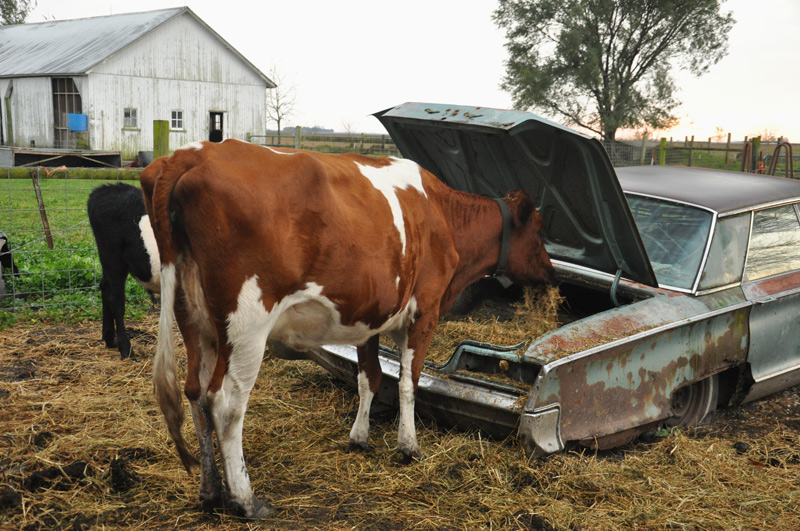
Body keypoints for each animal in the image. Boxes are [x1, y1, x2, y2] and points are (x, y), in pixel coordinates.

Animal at [140, 139, 555, 518]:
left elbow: (369, 376)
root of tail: (193, 152)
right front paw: (409, 446)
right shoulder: (426, 309)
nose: (551, 273)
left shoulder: (370, 317)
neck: (443, 215)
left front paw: (359, 437)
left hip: (194, 320)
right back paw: (245, 499)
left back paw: (210, 490)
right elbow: (408, 382)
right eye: (538, 231)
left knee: (195, 395)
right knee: (225, 404)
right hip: (247, 324)